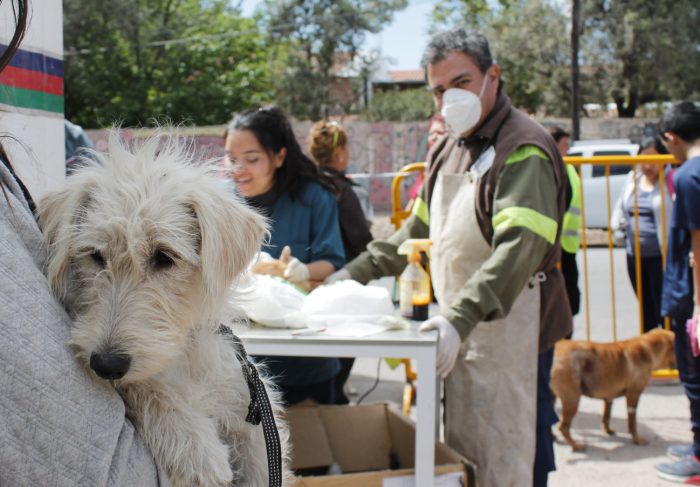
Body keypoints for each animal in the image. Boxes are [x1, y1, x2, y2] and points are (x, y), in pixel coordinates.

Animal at [37, 133, 290, 487]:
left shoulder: (252, 419)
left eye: (164, 257)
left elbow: (264, 465)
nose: (106, 364)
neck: (182, 356)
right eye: (96, 255)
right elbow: (145, 385)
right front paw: (195, 448)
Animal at [548, 330, 676, 452]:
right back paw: (576, 446)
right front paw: (636, 439)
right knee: (563, 427)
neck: (648, 348)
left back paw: (553, 437)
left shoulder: (608, 397)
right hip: (572, 399)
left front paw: (607, 430)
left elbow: (606, 416)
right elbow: (632, 422)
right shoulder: (633, 395)